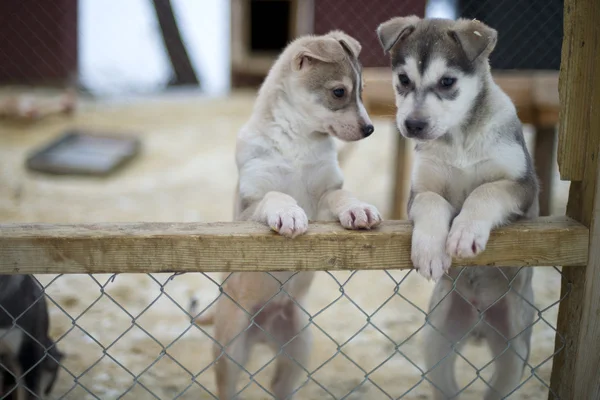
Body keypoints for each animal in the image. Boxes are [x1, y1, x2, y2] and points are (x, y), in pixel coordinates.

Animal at [195, 31, 382, 400]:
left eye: (362, 90)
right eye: (339, 92)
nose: (369, 129)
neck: (298, 141)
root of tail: (263, 328)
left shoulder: (324, 194)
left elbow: (341, 195)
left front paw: (358, 209)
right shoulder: (246, 208)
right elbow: (275, 195)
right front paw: (288, 214)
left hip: (297, 348)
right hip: (230, 351)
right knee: (228, 385)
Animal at [376, 17, 540, 398]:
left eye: (447, 82)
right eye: (403, 79)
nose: (413, 125)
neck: (459, 140)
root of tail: (479, 325)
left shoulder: (523, 187)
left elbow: (485, 192)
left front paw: (465, 234)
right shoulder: (420, 190)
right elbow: (434, 203)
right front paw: (430, 250)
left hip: (514, 351)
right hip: (437, 340)